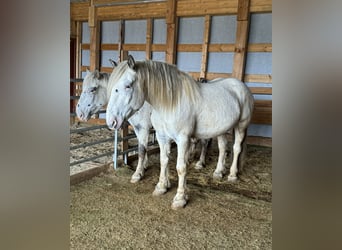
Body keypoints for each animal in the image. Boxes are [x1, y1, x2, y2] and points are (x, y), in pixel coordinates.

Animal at [75, 67, 211, 183]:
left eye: (93, 89)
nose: (79, 113)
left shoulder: (143, 127)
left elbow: (141, 150)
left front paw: (138, 174)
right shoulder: (139, 128)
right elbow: (143, 148)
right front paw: (144, 165)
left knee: (204, 142)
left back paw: (201, 162)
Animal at [106, 55, 254, 209]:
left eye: (128, 85)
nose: (111, 121)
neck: (169, 103)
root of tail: (242, 86)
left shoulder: (182, 139)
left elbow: (181, 167)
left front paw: (180, 198)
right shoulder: (161, 137)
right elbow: (163, 160)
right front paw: (161, 187)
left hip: (241, 126)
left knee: (236, 148)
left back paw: (232, 175)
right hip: (221, 130)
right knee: (223, 148)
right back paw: (219, 172)